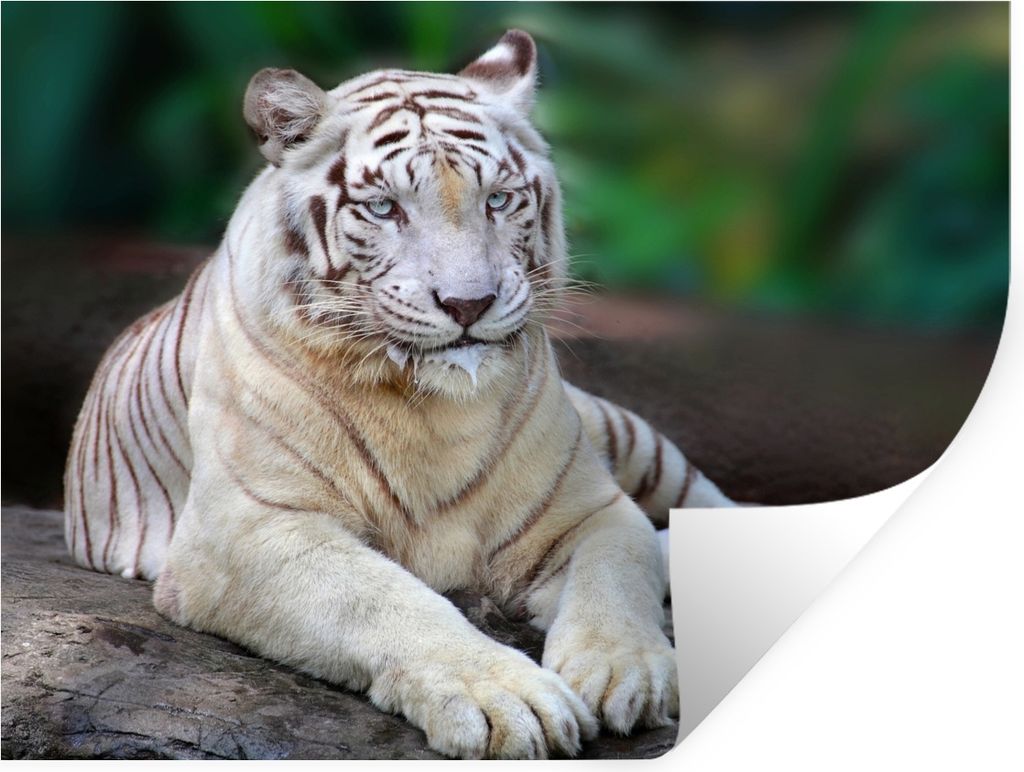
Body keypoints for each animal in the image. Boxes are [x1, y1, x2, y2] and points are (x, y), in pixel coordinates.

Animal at [63, 30, 735, 759]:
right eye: (385, 208)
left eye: (498, 200)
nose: (469, 303)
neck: (434, 408)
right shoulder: (249, 530)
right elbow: (387, 602)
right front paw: (505, 698)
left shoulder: (590, 511)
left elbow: (617, 575)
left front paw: (626, 672)